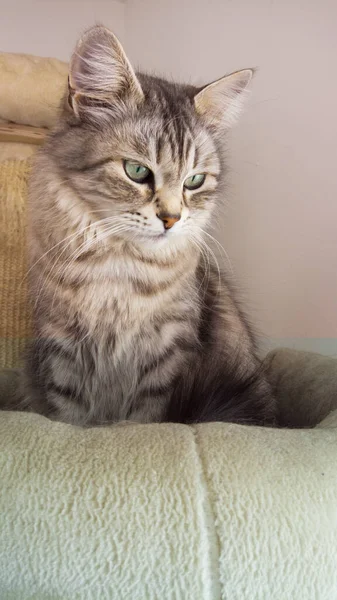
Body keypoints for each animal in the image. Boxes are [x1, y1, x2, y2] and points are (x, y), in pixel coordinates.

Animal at [17, 24, 276, 426]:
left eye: (194, 181)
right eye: (137, 171)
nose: (171, 218)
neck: (118, 266)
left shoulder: (167, 350)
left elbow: (145, 419)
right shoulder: (61, 342)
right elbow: (70, 416)